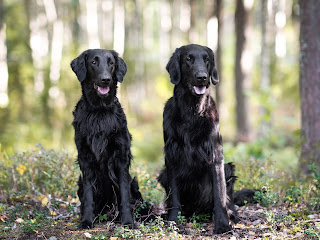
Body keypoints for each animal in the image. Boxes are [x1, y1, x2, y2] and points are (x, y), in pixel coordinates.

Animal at [72, 48, 144, 229]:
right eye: (93, 62)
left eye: (111, 63)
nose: (106, 79)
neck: (100, 111)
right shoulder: (85, 157)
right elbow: (89, 195)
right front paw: (87, 221)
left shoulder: (121, 157)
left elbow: (124, 194)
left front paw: (128, 221)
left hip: (134, 184)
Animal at [158, 44, 238, 233]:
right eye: (188, 59)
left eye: (207, 59)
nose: (202, 77)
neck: (192, 112)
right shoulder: (172, 156)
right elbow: (174, 197)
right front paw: (173, 222)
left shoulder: (215, 156)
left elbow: (219, 195)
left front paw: (223, 225)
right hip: (163, 174)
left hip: (228, 168)